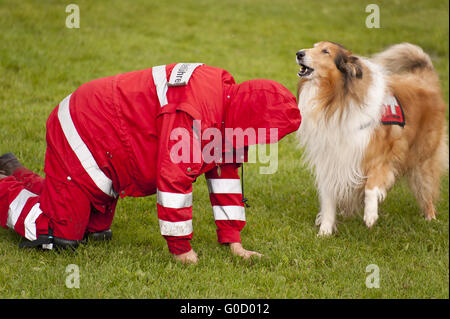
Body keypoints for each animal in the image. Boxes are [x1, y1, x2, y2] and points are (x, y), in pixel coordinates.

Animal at [296, 42, 446, 238]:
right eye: (314, 47)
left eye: (325, 51)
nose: (299, 53)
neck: (336, 98)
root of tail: (424, 78)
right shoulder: (330, 159)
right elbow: (328, 199)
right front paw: (325, 232)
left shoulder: (380, 157)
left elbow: (371, 187)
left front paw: (370, 215)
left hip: (423, 159)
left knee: (427, 189)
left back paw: (430, 219)